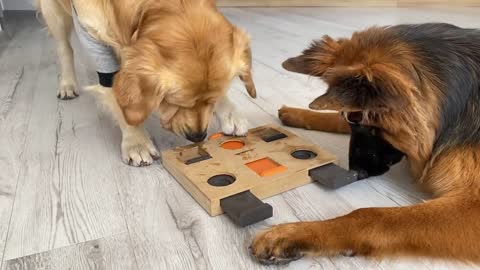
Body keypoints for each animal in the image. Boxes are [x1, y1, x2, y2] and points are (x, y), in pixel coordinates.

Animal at [249, 23, 480, 264]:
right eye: (352, 120)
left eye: (360, 120)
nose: (355, 173)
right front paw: (297, 113)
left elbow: (372, 215)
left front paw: (292, 233)